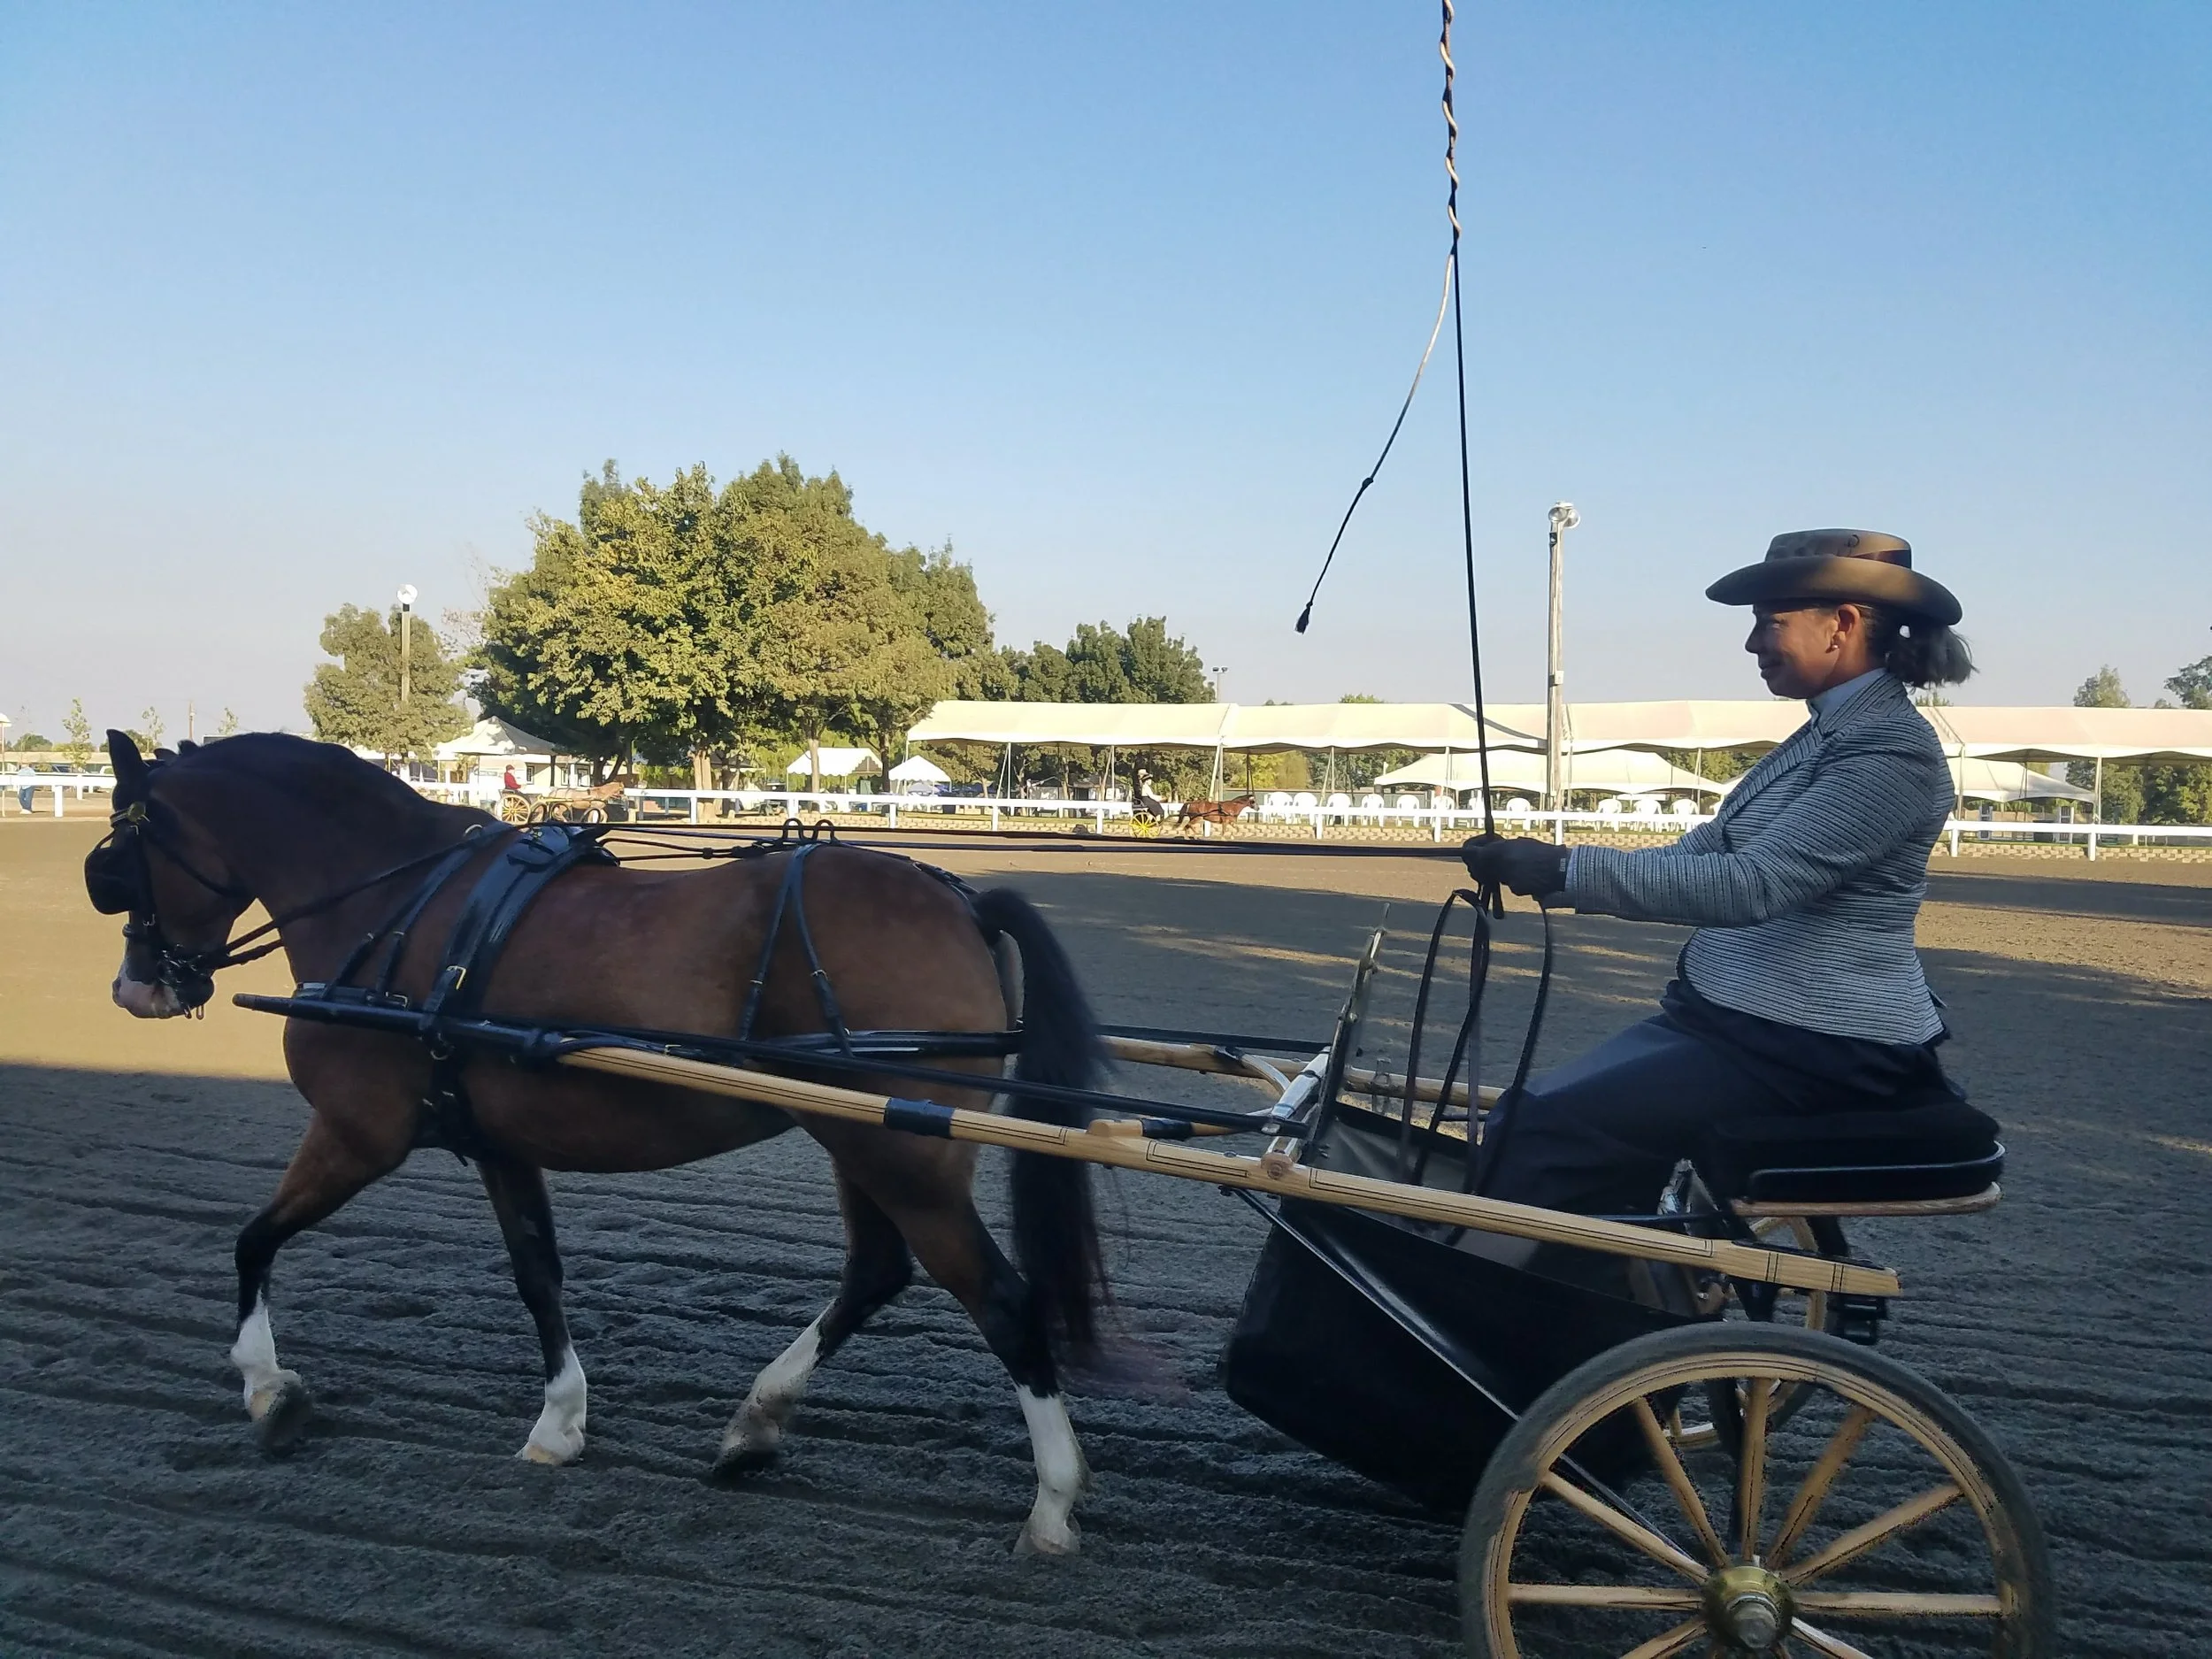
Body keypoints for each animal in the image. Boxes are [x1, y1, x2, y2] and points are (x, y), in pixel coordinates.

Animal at [85, 730, 1111, 1554]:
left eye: (120, 854)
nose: (136, 987)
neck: (404, 904)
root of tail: (959, 899)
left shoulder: (357, 1134)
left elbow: (252, 1239)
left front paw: (268, 1387)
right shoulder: (496, 1142)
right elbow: (538, 1273)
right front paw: (559, 1422)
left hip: (900, 1154)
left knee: (1003, 1302)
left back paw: (1052, 1504)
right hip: (862, 1142)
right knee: (877, 1272)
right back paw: (754, 1424)